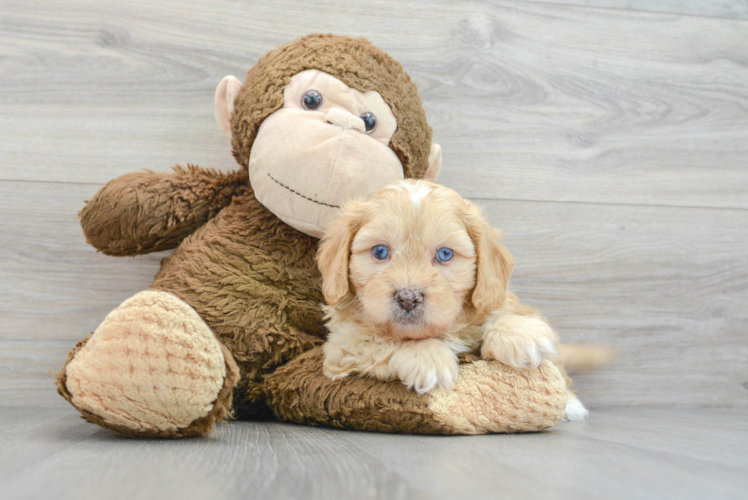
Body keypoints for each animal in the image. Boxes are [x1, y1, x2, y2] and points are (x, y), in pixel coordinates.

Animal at [316, 178, 592, 420]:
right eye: (380, 251)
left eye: (445, 254)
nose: (408, 298)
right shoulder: (343, 344)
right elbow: (380, 339)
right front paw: (427, 356)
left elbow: (498, 313)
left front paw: (519, 333)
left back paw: (571, 403)